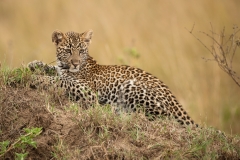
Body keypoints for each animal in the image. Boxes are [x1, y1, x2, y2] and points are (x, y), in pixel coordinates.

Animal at [27, 29, 199, 127]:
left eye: (81, 51)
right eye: (68, 51)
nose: (75, 63)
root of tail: (173, 98)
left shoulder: (87, 91)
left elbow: (59, 81)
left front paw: (35, 78)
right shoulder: (61, 70)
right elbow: (53, 70)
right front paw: (33, 64)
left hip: (131, 86)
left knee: (160, 118)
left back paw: (113, 109)